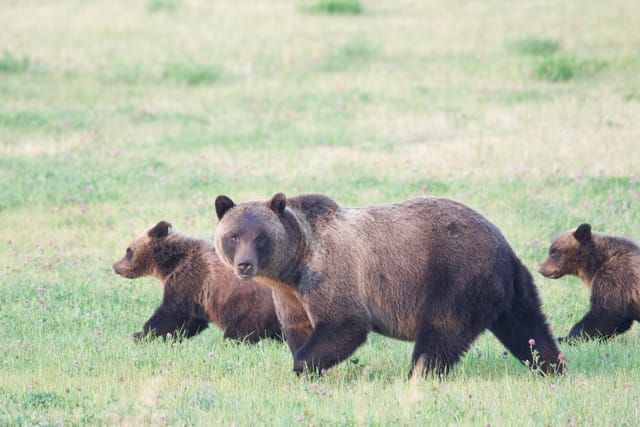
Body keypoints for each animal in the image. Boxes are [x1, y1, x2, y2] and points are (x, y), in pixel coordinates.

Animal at [112, 220, 282, 343]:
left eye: (128, 251)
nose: (115, 266)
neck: (171, 263)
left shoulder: (188, 280)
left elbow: (171, 313)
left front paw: (140, 334)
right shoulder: (197, 294)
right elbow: (191, 321)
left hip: (250, 306)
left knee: (240, 330)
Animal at [213, 193, 563, 376]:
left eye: (259, 237)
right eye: (234, 236)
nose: (244, 264)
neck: (295, 266)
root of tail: (503, 245)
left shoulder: (332, 274)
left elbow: (345, 322)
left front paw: (304, 366)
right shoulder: (290, 295)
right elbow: (298, 328)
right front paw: (311, 369)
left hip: (456, 276)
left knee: (442, 330)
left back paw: (418, 373)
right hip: (510, 286)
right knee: (527, 326)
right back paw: (551, 365)